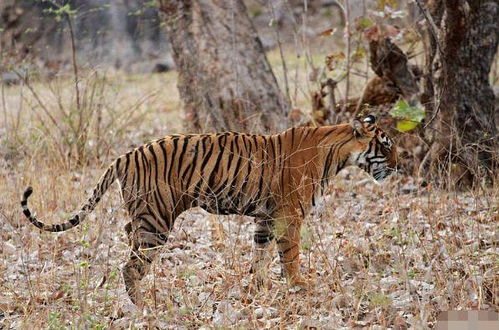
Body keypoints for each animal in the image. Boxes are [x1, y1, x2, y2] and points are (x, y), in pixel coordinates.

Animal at [21, 114, 398, 306]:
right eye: (386, 145)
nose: (400, 166)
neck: (337, 152)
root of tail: (125, 155)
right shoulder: (289, 216)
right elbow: (290, 256)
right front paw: (300, 287)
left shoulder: (266, 217)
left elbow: (260, 255)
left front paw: (256, 289)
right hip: (156, 220)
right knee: (130, 266)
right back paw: (144, 306)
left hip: (143, 216)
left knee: (128, 242)